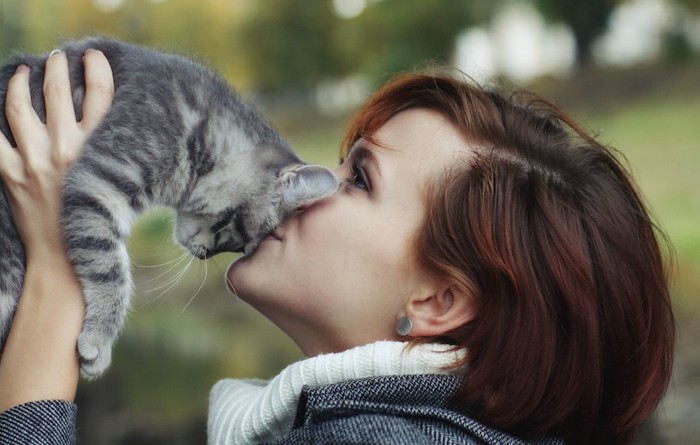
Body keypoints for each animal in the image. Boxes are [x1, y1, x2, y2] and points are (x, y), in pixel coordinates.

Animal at [0, 37, 340, 378]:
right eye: (238, 233)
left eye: (245, 250)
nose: (205, 254)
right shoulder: (99, 181)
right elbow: (109, 268)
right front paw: (100, 338)